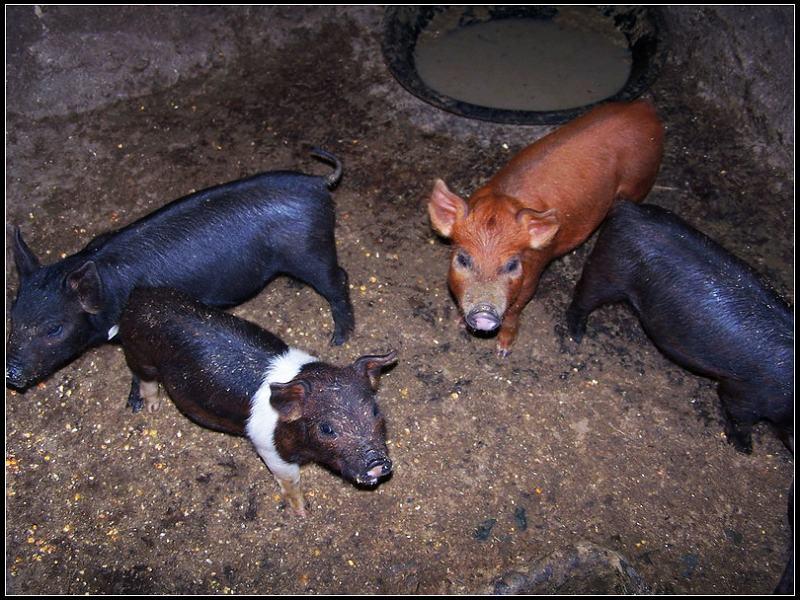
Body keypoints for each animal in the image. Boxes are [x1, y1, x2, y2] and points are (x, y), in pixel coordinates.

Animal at [6, 150, 354, 390]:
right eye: (13, 315)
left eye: (54, 329)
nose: (10, 373)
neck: (108, 287)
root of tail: (316, 183)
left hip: (313, 250)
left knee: (339, 280)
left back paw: (338, 339)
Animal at [117, 286, 396, 516]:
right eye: (327, 428)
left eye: (374, 411)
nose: (377, 462)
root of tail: (139, 294)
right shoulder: (267, 447)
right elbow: (289, 480)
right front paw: (302, 512)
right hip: (139, 353)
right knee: (145, 377)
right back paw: (152, 408)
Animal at [428, 101, 664, 356]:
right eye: (462, 259)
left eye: (512, 265)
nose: (484, 313)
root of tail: (644, 108)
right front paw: (458, 323)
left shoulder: (533, 273)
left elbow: (515, 310)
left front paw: (503, 351)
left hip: (639, 184)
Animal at [564, 202, 792, 454]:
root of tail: (626, 209)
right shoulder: (745, 389)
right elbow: (738, 413)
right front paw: (745, 449)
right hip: (608, 270)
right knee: (584, 295)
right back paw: (576, 335)